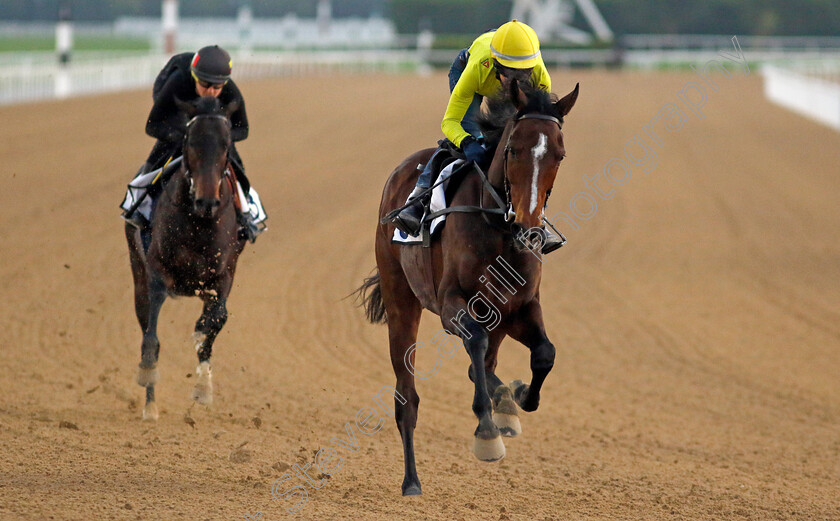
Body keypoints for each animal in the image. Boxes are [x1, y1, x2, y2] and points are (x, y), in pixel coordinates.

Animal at [125, 95, 246, 420]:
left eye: (226, 145)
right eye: (190, 142)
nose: (207, 201)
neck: (198, 222)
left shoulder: (222, 275)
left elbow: (215, 321)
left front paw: (203, 387)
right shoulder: (157, 273)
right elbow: (151, 340)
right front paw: (148, 381)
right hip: (137, 271)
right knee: (145, 326)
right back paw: (150, 403)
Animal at [354, 79, 576, 494]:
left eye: (559, 154)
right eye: (513, 149)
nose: (529, 228)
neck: (500, 229)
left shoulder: (521, 307)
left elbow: (545, 354)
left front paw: (517, 397)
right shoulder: (452, 305)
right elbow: (475, 342)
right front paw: (487, 433)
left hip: (498, 316)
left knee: (486, 365)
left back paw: (505, 400)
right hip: (400, 297)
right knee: (407, 397)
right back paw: (411, 481)